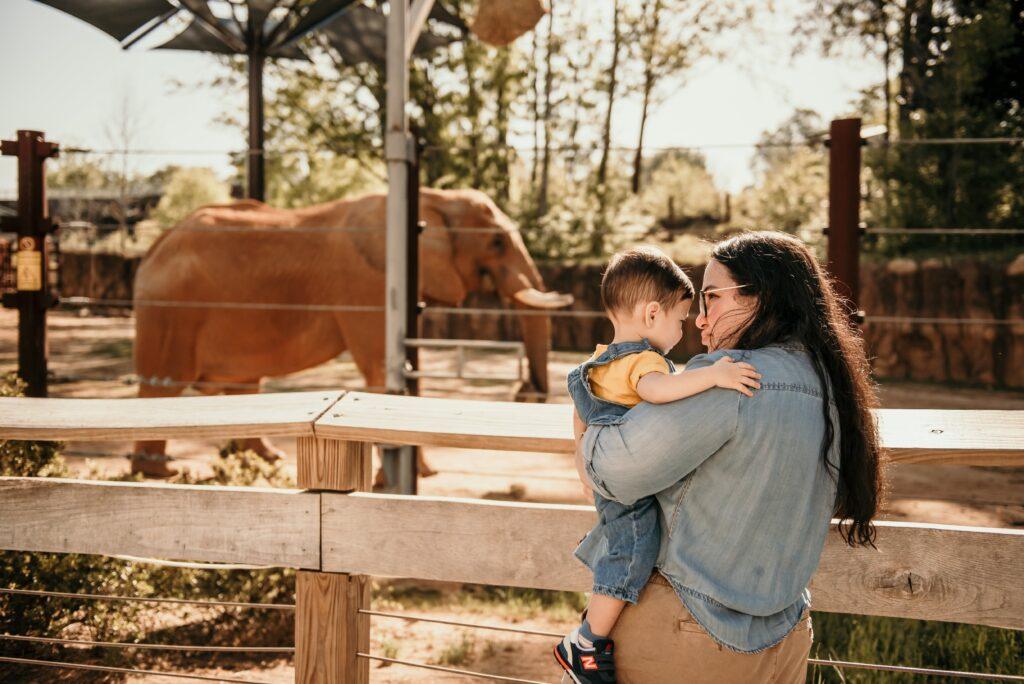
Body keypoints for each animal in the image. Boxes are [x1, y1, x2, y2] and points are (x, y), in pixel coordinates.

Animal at [129, 185, 573, 475]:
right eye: (496, 243)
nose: (525, 392)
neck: (432, 196)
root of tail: (153, 249)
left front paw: (423, 474)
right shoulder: (368, 283)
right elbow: (378, 369)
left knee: (241, 385)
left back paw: (268, 461)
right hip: (170, 312)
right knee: (162, 386)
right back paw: (161, 475)